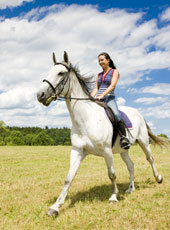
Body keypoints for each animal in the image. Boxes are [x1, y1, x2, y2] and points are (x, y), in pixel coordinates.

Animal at [36, 51, 168, 217]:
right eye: (49, 72)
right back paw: (130, 189)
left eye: (60, 73)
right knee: (131, 166)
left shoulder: (106, 151)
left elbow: (112, 174)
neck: (86, 119)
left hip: (143, 142)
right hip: (123, 150)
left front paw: (113, 197)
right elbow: (68, 178)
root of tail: (138, 113)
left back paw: (159, 178)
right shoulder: (77, 151)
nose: (40, 95)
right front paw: (55, 207)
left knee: (150, 159)